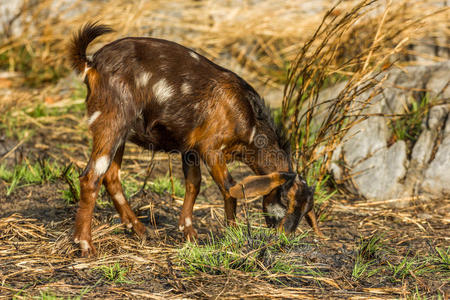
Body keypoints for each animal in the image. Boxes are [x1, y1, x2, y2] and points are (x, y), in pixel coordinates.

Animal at [68, 24, 322, 258]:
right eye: (285, 200)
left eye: (305, 212)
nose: (283, 238)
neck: (247, 116)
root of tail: (92, 63)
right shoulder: (211, 148)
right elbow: (230, 188)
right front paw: (232, 232)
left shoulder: (190, 149)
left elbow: (195, 184)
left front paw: (190, 232)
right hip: (112, 121)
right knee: (91, 177)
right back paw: (85, 244)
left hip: (121, 131)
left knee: (111, 177)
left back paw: (140, 230)